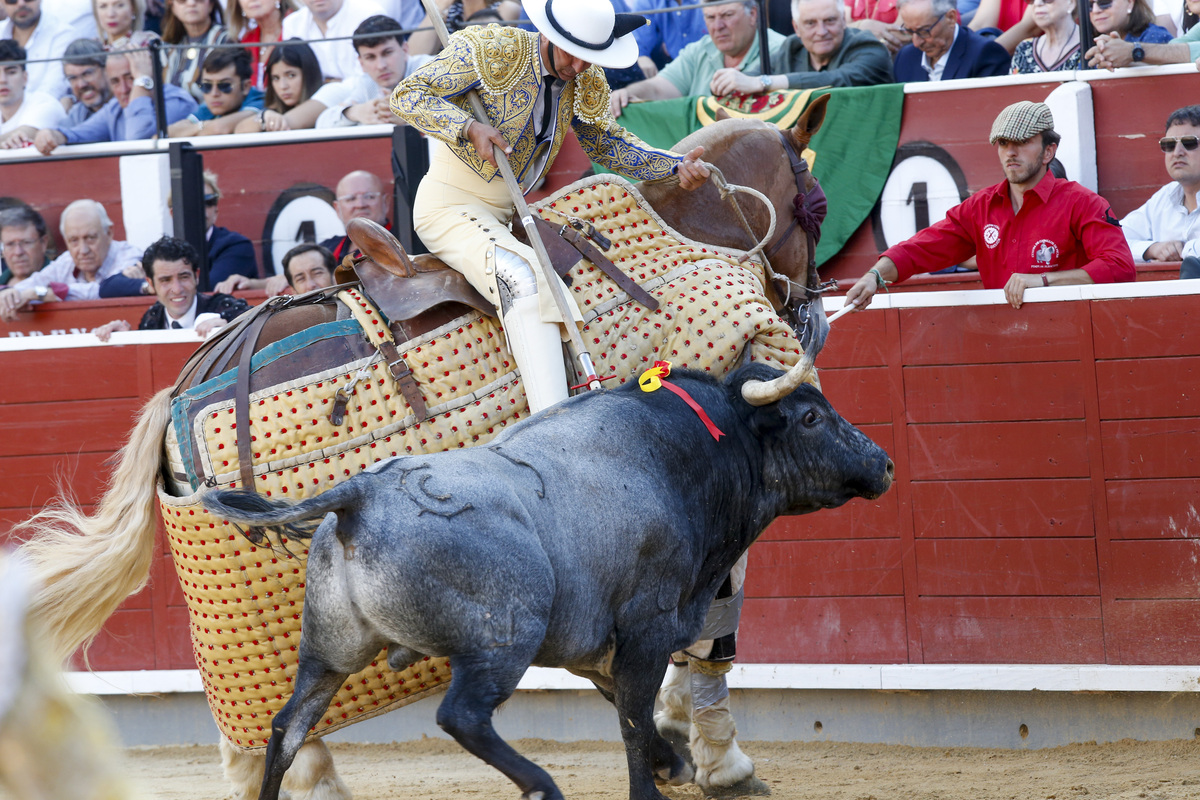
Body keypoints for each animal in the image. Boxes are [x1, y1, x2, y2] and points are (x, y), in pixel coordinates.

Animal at [204, 362, 892, 800]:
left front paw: (676, 765)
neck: (687, 454)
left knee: (286, 728)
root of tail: (360, 495)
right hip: (502, 640)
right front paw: (653, 788)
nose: (883, 463)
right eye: (810, 416)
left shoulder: (590, 647)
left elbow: (630, 710)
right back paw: (541, 786)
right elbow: (633, 718)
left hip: (328, 654)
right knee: (462, 716)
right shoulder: (645, 627)